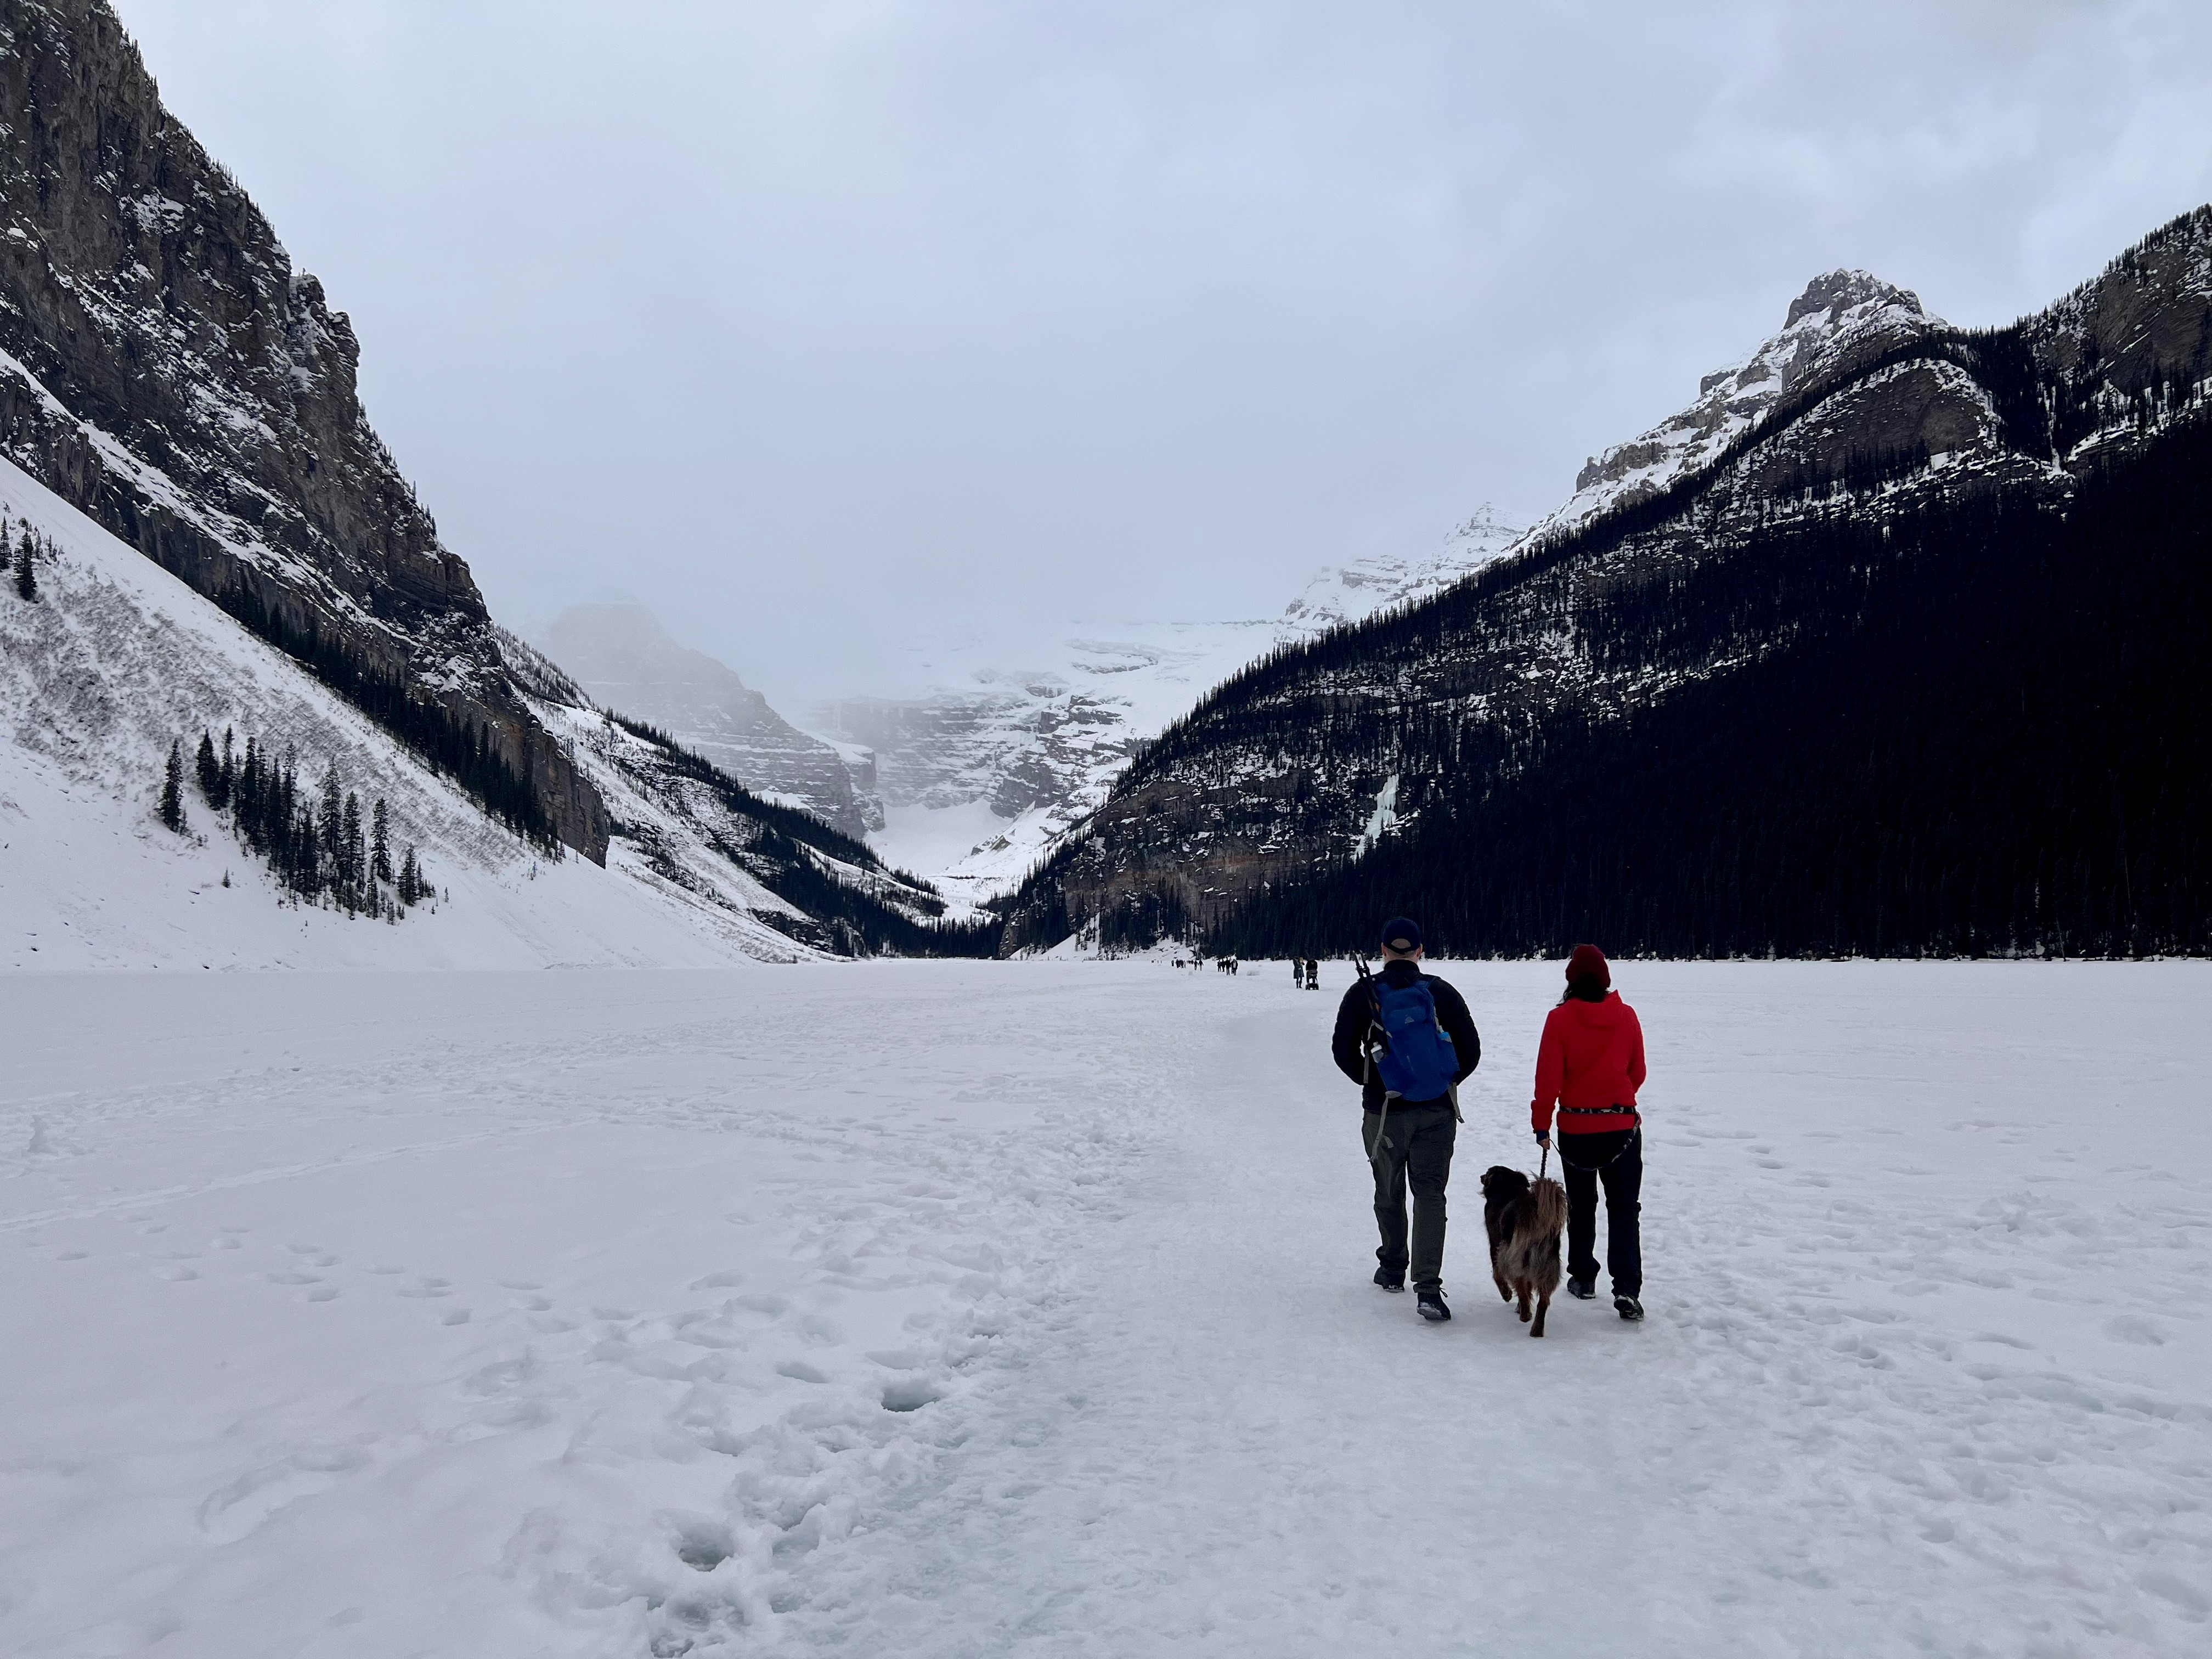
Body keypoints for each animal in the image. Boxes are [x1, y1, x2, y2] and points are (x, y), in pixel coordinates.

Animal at [1486, 1167, 1575, 1336]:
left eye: (1488, 1174)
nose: (1482, 1177)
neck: (1509, 1188)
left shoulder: (1495, 1247)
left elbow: (1497, 1275)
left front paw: (1507, 1294)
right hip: (1548, 1265)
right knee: (1543, 1300)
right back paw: (1536, 1329)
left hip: (1512, 1256)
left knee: (1520, 1283)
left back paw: (1526, 1315)